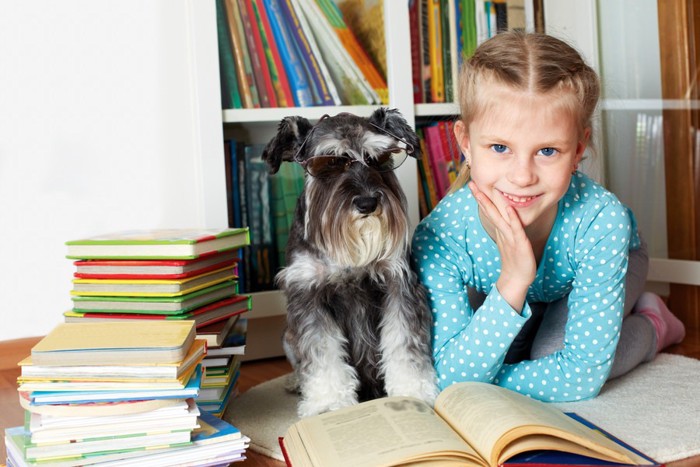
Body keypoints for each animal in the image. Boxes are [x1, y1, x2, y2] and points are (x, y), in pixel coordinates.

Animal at [262, 109, 438, 416]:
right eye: (331, 161)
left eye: (377, 158)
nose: (367, 203)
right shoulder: (308, 294)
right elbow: (323, 353)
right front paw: (328, 403)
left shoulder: (399, 285)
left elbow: (404, 342)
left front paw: (413, 391)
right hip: (287, 337)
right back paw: (296, 382)